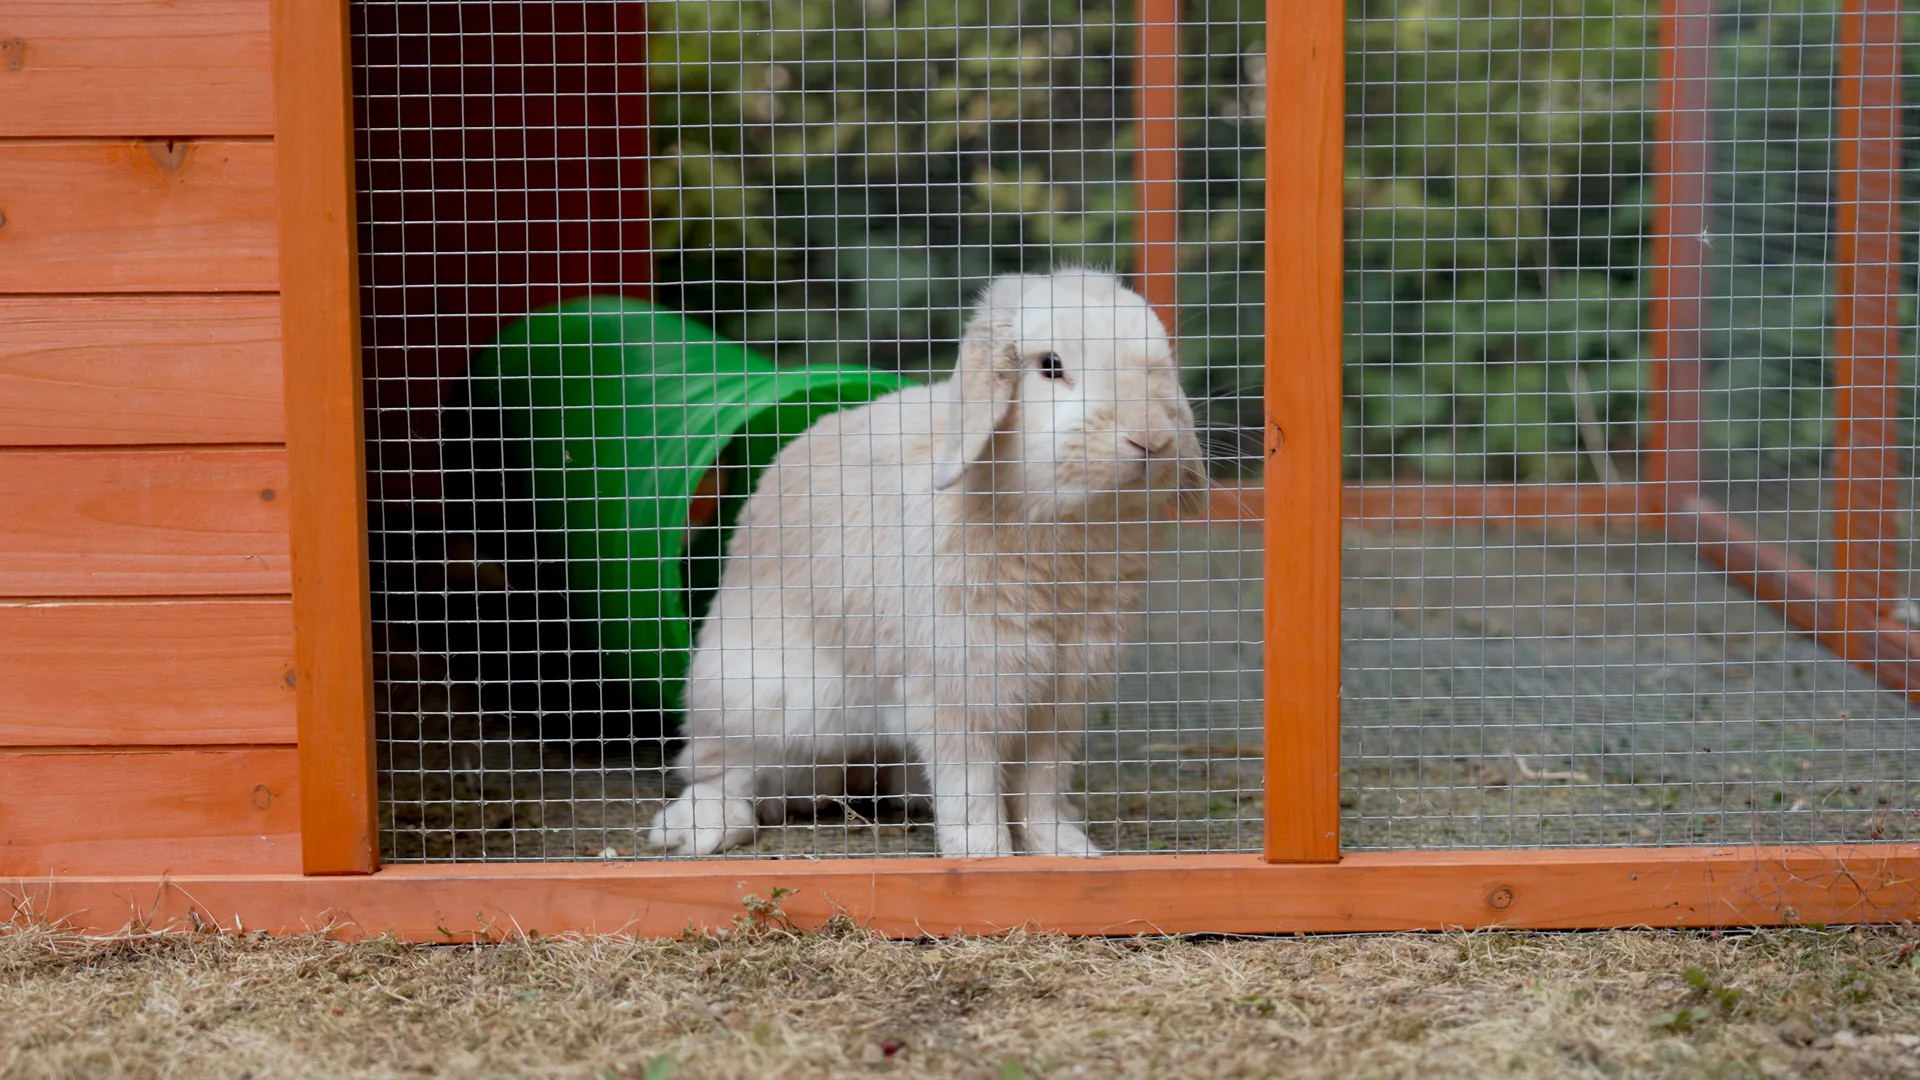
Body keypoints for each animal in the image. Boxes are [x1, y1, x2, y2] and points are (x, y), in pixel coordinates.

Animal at [647, 269, 1210, 857]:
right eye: (1050, 365)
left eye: (1159, 362)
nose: (1150, 438)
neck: (1061, 532)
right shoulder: (957, 692)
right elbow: (973, 789)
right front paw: (988, 856)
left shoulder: (1058, 700)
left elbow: (1040, 789)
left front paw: (1065, 851)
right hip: (752, 698)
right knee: (721, 769)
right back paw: (699, 829)